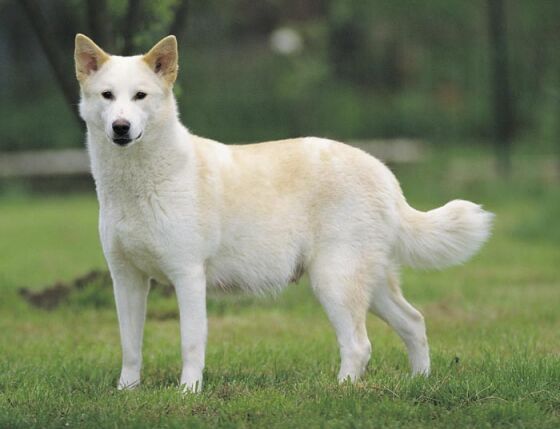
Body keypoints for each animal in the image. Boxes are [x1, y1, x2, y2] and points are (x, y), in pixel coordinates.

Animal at [73, 34, 490, 392]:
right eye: (107, 95)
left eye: (140, 96)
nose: (121, 127)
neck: (139, 184)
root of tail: (385, 175)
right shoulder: (126, 278)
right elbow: (130, 345)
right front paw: (127, 392)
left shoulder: (188, 275)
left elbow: (190, 343)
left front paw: (188, 393)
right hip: (369, 283)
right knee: (414, 323)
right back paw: (420, 381)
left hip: (334, 280)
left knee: (359, 344)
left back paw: (340, 390)